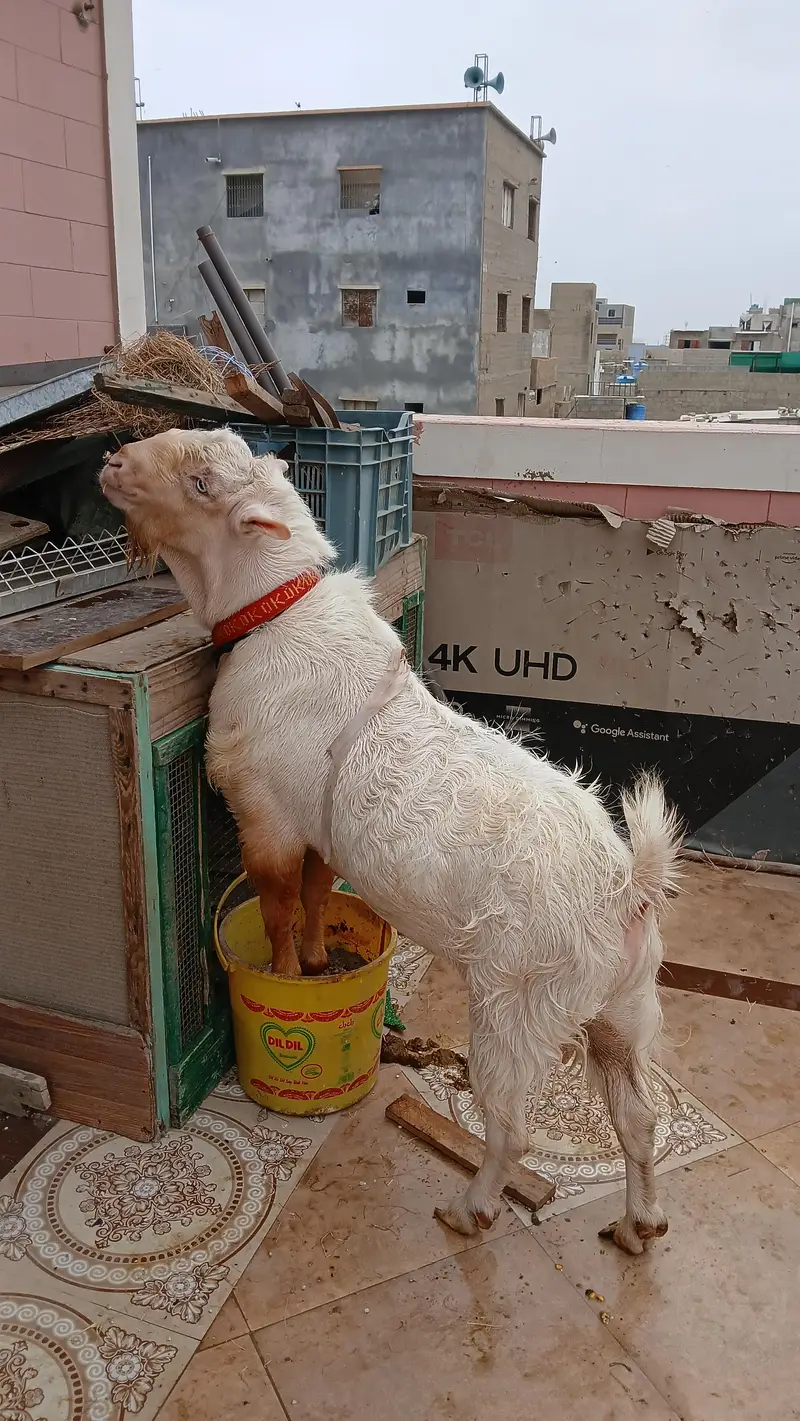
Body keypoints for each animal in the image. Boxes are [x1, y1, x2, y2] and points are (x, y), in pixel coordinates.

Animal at [101, 426, 682, 1252]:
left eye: (202, 483)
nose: (113, 462)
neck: (274, 609)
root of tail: (628, 887)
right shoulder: (316, 830)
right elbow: (316, 892)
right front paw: (318, 963)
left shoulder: (265, 812)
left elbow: (276, 904)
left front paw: (283, 969)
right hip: (624, 1006)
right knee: (638, 1114)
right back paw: (640, 1221)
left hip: (518, 1004)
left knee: (512, 1127)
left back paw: (472, 1207)